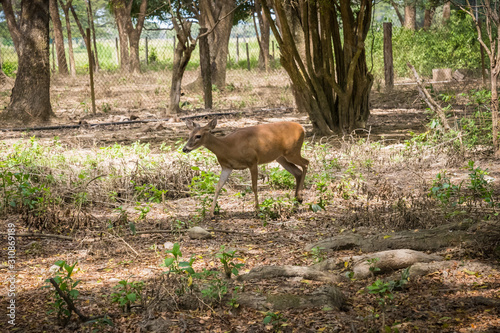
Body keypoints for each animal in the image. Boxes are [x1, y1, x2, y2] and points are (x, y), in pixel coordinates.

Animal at [182, 118, 310, 217]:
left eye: (198, 136)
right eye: (189, 135)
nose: (185, 149)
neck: (228, 147)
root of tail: (302, 128)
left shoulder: (252, 161)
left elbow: (254, 186)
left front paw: (257, 210)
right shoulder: (227, 167)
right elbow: (218, 186)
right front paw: (211, 212)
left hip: (292, 151)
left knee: (306, 163)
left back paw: (299, 198)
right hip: (281, 157)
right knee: (298, 172)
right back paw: (296, 202)